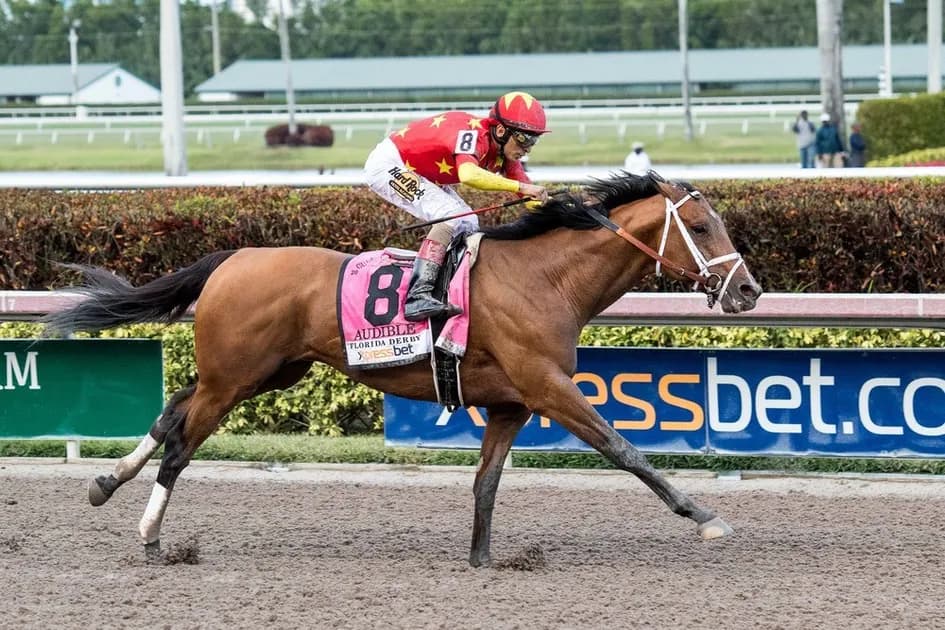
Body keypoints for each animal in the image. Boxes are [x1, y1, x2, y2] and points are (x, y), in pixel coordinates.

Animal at [42, 171, 762, 566]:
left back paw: (105, 483)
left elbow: (485, 483)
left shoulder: (511, 403)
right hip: (235, 378)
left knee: (171, 412)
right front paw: (704, 516)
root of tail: (233, 257)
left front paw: (483, 559)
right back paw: (150, 535)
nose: (748, 292)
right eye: (701, 227)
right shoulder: (548, 388)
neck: (544, 278)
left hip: (266, 371)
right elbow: (623, 449)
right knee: (182, 443)